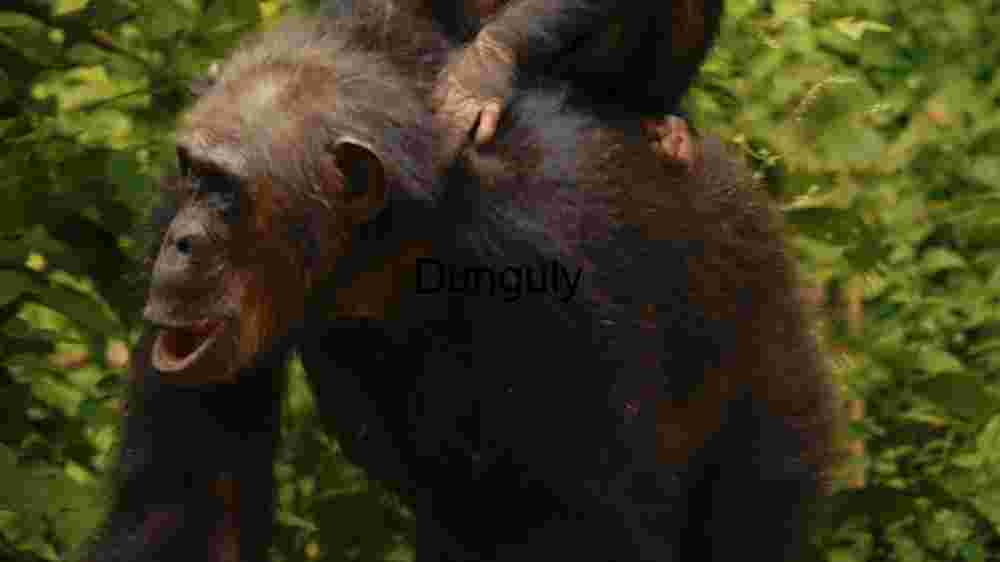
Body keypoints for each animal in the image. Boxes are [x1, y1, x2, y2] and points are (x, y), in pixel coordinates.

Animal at [80, 4, 836, 561]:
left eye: (229, 193)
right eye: (193, 174)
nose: (182, 243)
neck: (382, 243)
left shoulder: (543, 273)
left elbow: (593, 521)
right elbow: (192, 509)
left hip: (778, 374)